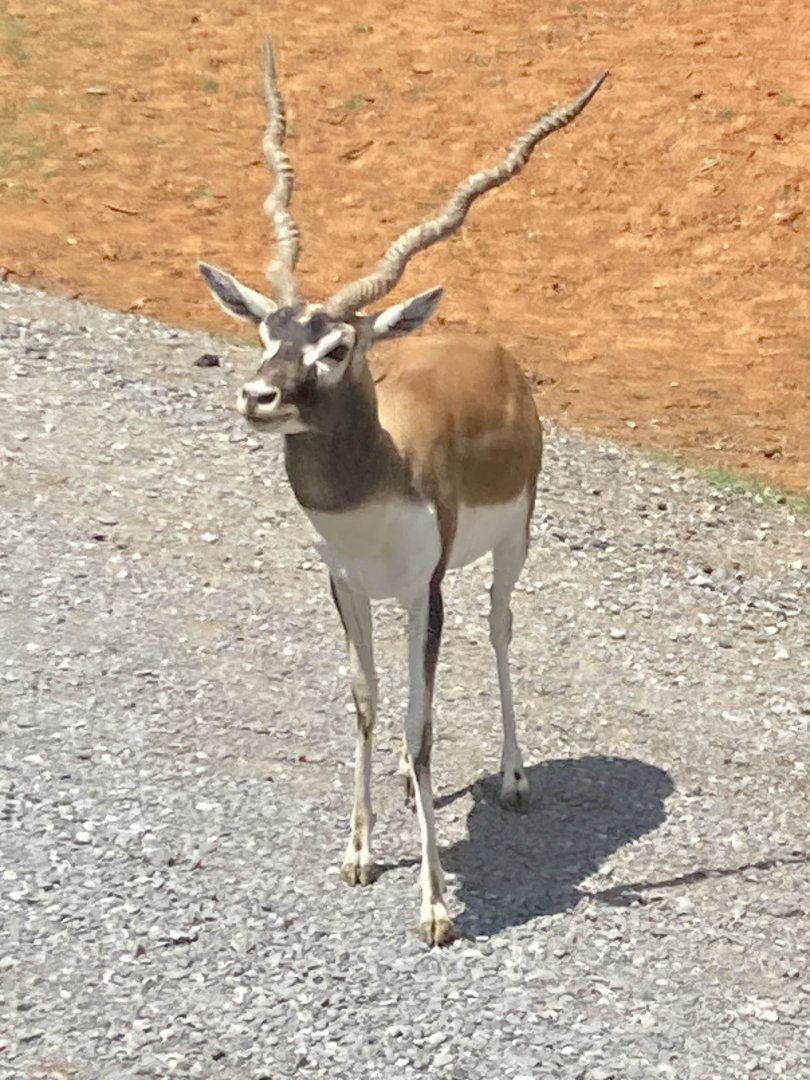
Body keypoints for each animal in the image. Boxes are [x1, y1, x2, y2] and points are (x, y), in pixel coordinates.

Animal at [200, 40, 606, 946]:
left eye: (338, 348)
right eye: (267, 331)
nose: (258, 397)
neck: (375, 486)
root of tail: (490, 350)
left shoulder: (429, 588)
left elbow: (423, 726)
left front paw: (435, 903)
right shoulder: (346, 583)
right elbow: (365, 700)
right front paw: (357, 851)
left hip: (509, 548)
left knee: (499, 629)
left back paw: (513, 778)